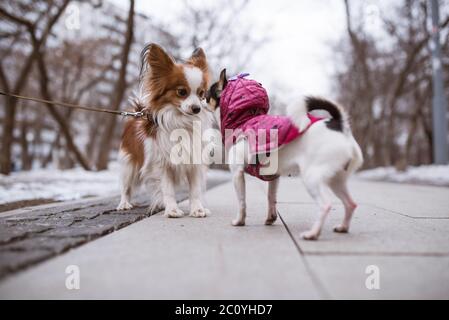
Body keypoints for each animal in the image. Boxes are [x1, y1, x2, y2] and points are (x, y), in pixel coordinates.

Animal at [115, 43, 214, 218]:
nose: (196, 108)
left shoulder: (194, 163)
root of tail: (136, 113)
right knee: (126, 187)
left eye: (201, 93)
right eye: (182, 92)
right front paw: (172, 210)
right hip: (129, 165)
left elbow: (195, 190)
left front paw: (197, 209)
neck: (181, 122)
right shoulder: (162, 165)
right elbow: (168, 190)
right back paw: (124, 204)